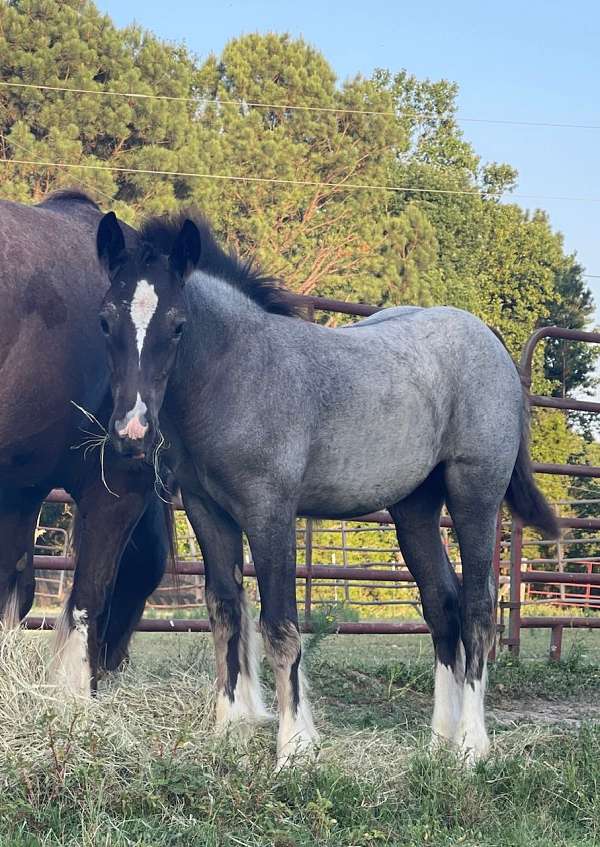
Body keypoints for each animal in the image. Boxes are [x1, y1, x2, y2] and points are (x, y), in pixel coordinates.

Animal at [88, 210, 556, 768]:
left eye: (178, 325)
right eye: (105, 321)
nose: (131, 432)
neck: (239, 374)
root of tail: (488, 338)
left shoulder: (270, 511)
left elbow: (280, 627)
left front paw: (294, 748)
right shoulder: (208, 512)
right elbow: (224, 612)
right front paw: (227, 733)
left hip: (475, 497)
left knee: (478, 609)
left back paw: (470, 746)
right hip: (415, 510)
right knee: (441, 604)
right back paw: (439, 740)